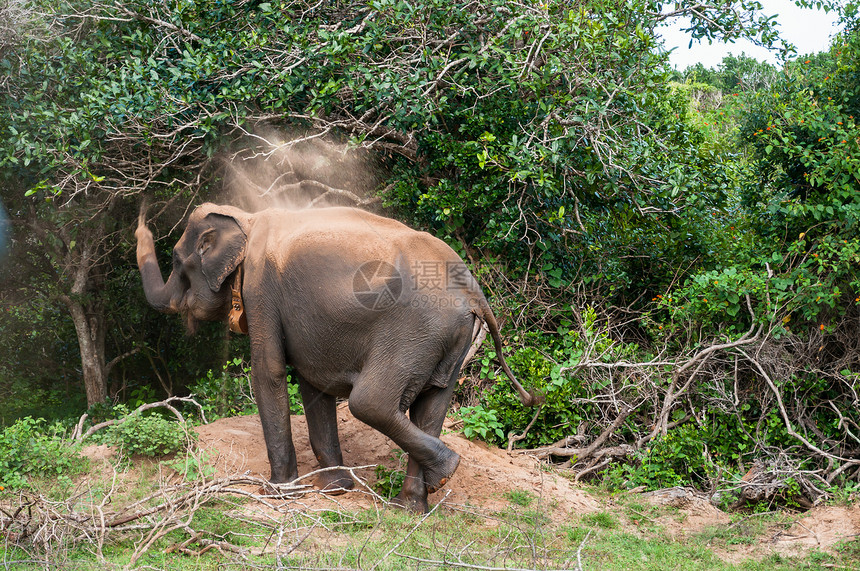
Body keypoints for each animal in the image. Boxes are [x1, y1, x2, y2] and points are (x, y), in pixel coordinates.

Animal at [136, 202, 536, 512]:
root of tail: (473, 291)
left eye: (176, 261)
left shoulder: (260, 288)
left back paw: (445, 471)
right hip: (448, 341)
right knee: (431, 407)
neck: (246, 219)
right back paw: (412, 505)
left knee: (370, 402)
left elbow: (269, 371)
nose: (141, 218)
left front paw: (278, 492)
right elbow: (314, 382)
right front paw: (336, 489)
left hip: (413, 334)